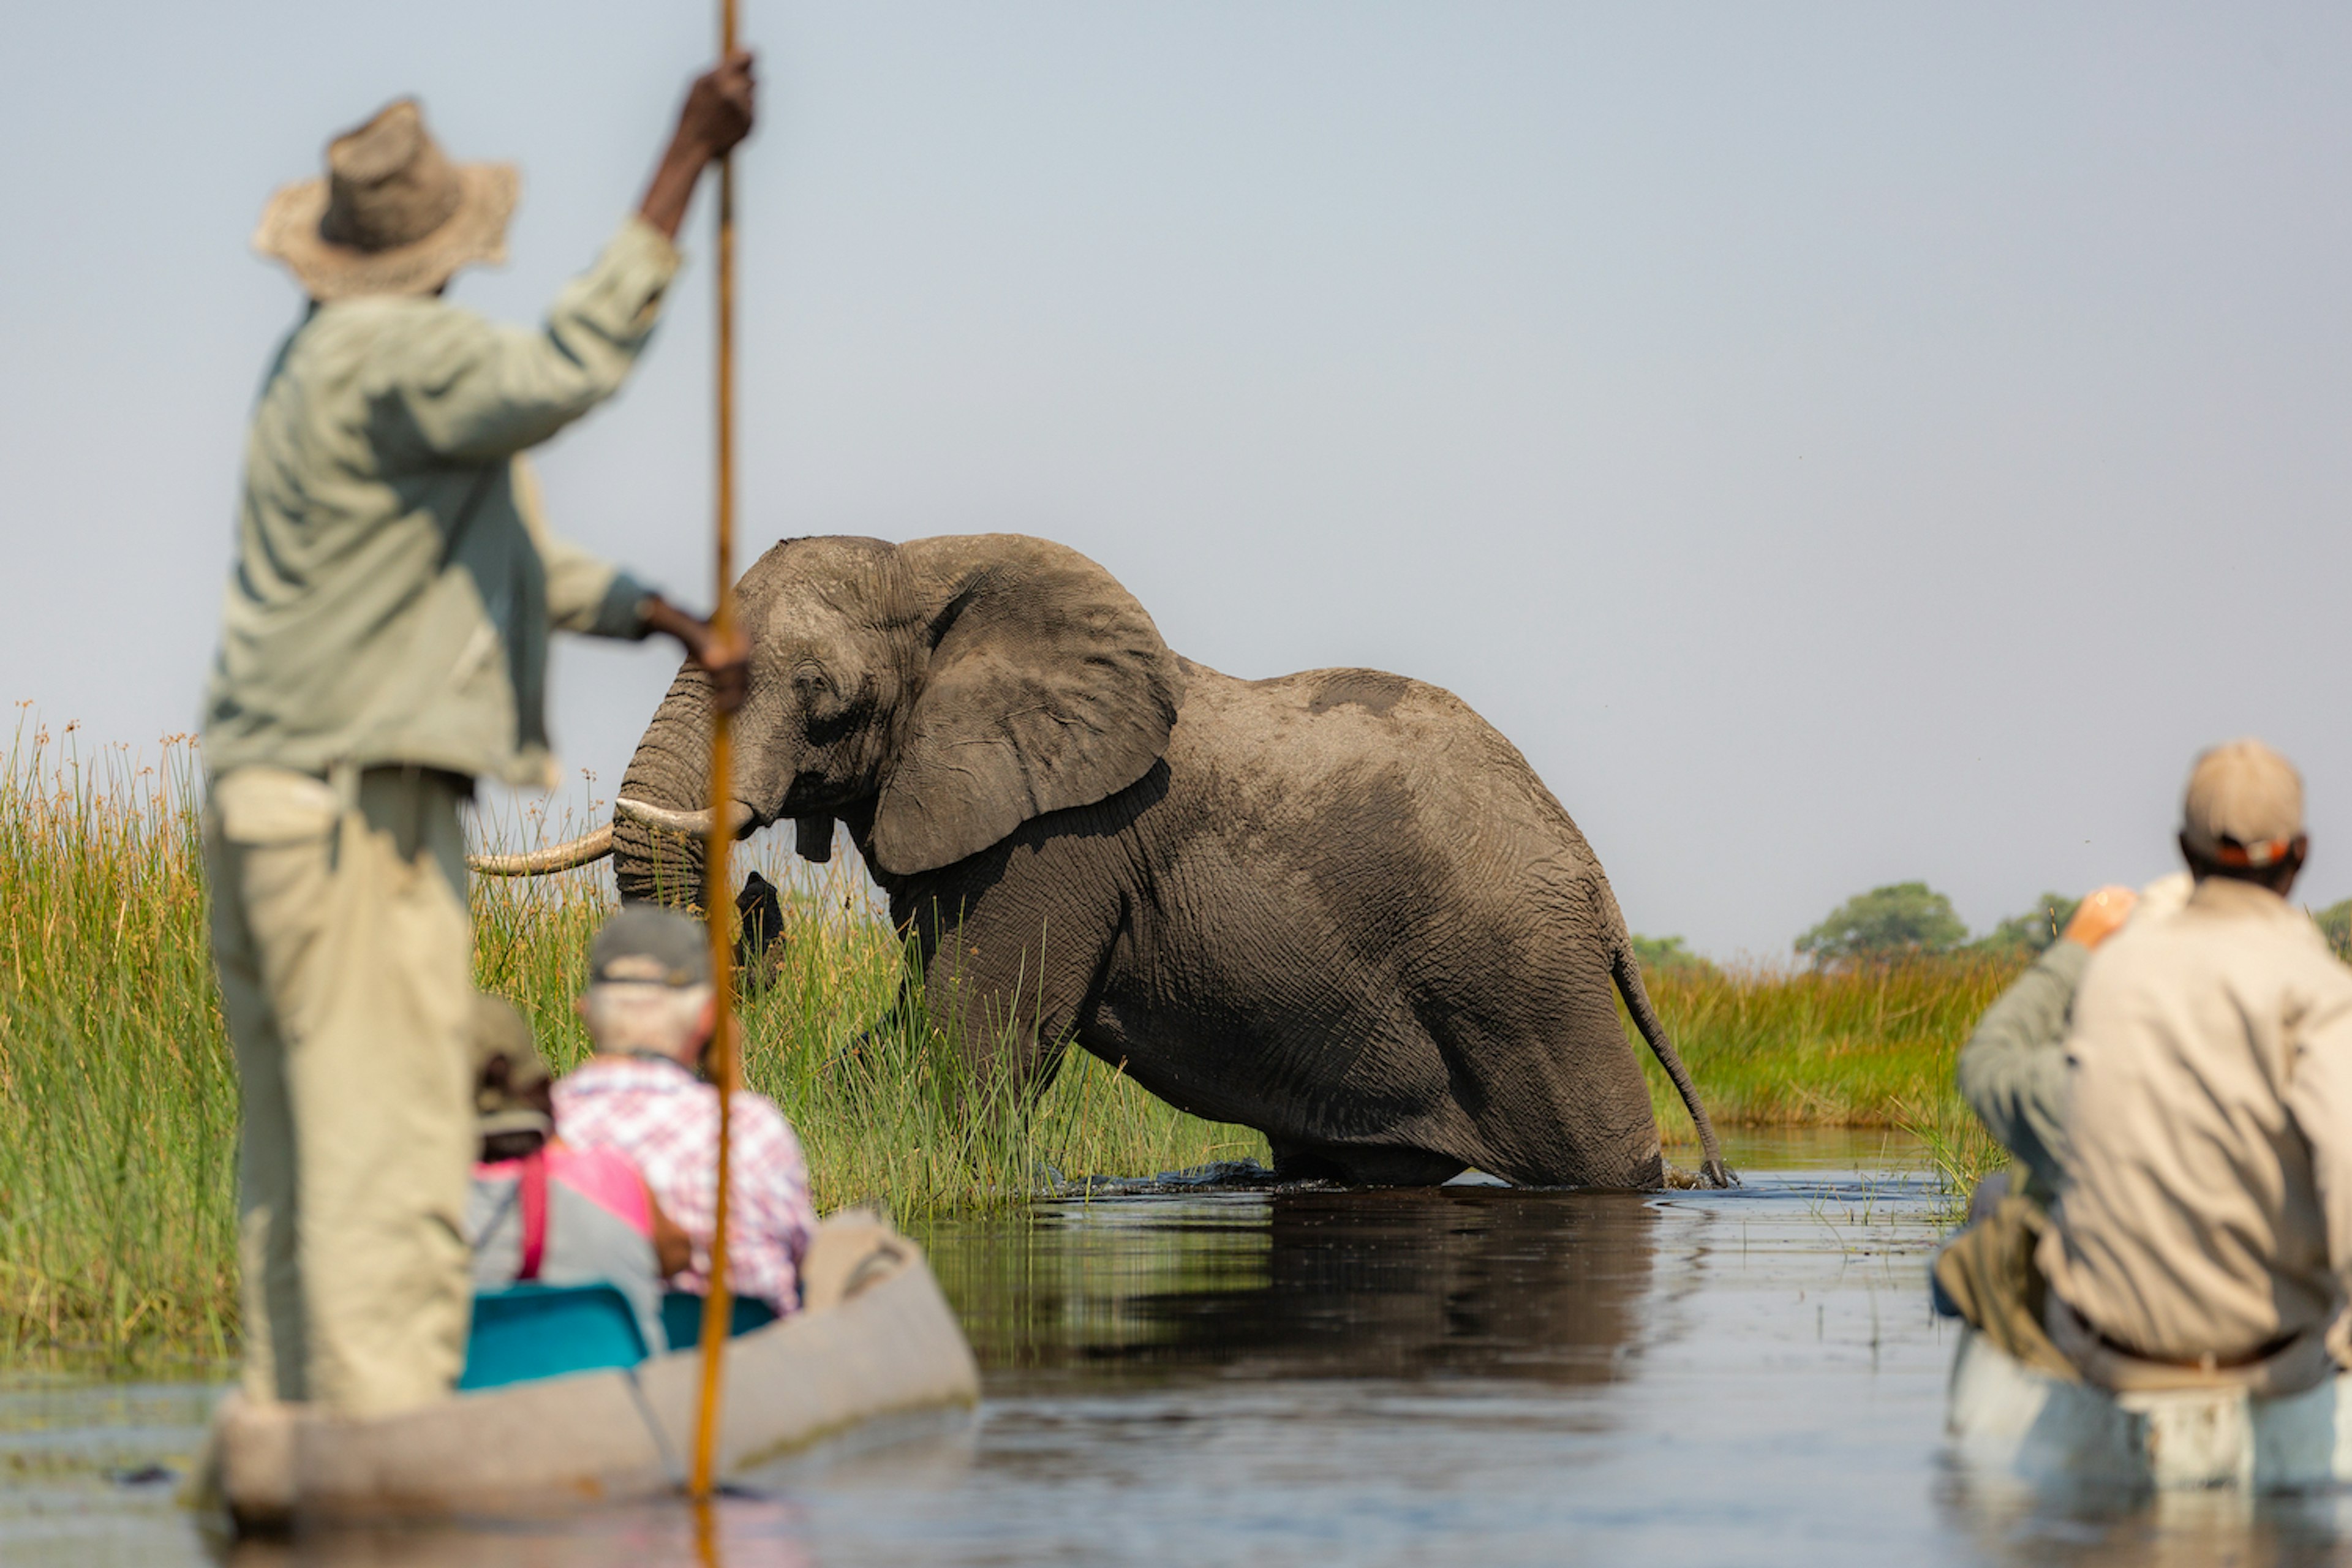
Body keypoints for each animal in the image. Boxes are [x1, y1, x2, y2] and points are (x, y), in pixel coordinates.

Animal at [477, 536, 1731, 1189]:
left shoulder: (1056, 844)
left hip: (1525, 983)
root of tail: (1600, 891)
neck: (929, 564)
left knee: (1603, 1160)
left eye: (824, 702)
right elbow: (905, 1030)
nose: (759, 890)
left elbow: (979, 1037)